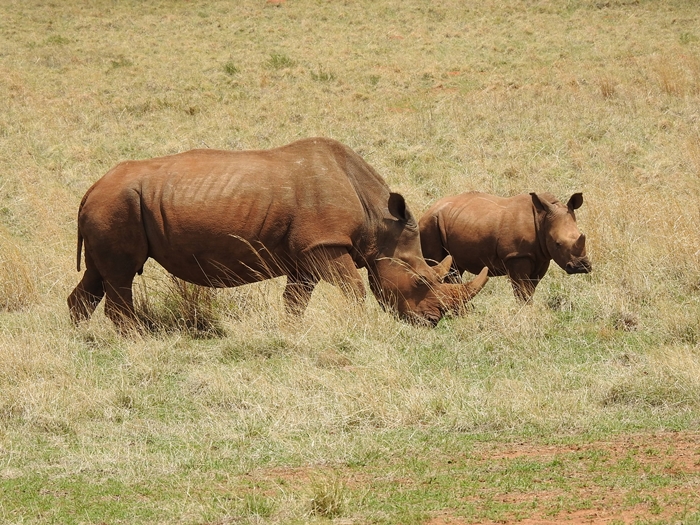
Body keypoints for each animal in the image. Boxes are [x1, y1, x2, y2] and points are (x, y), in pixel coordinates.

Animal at [68, 138, 490, 328]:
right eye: (420, 279)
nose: (434, 320)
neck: (378, 222)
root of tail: (91, 187)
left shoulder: (306, 252)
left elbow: (295, 299)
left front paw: (292, 332)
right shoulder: (325, 244)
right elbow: (353, 288)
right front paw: (358, 324)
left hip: (110, 205)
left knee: (98, 275)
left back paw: (81, 340)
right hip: (117, 205)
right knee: (121, 275)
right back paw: (135, 340)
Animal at [422, 190, 592, 300]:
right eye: (558, 244)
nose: (581, 267)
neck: (542, 219)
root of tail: (429, 208)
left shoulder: (542, 257)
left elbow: (531, 289)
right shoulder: (516, 256)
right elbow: (522, 291)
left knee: (454, 268)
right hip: (431, 224)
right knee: (436, 264)